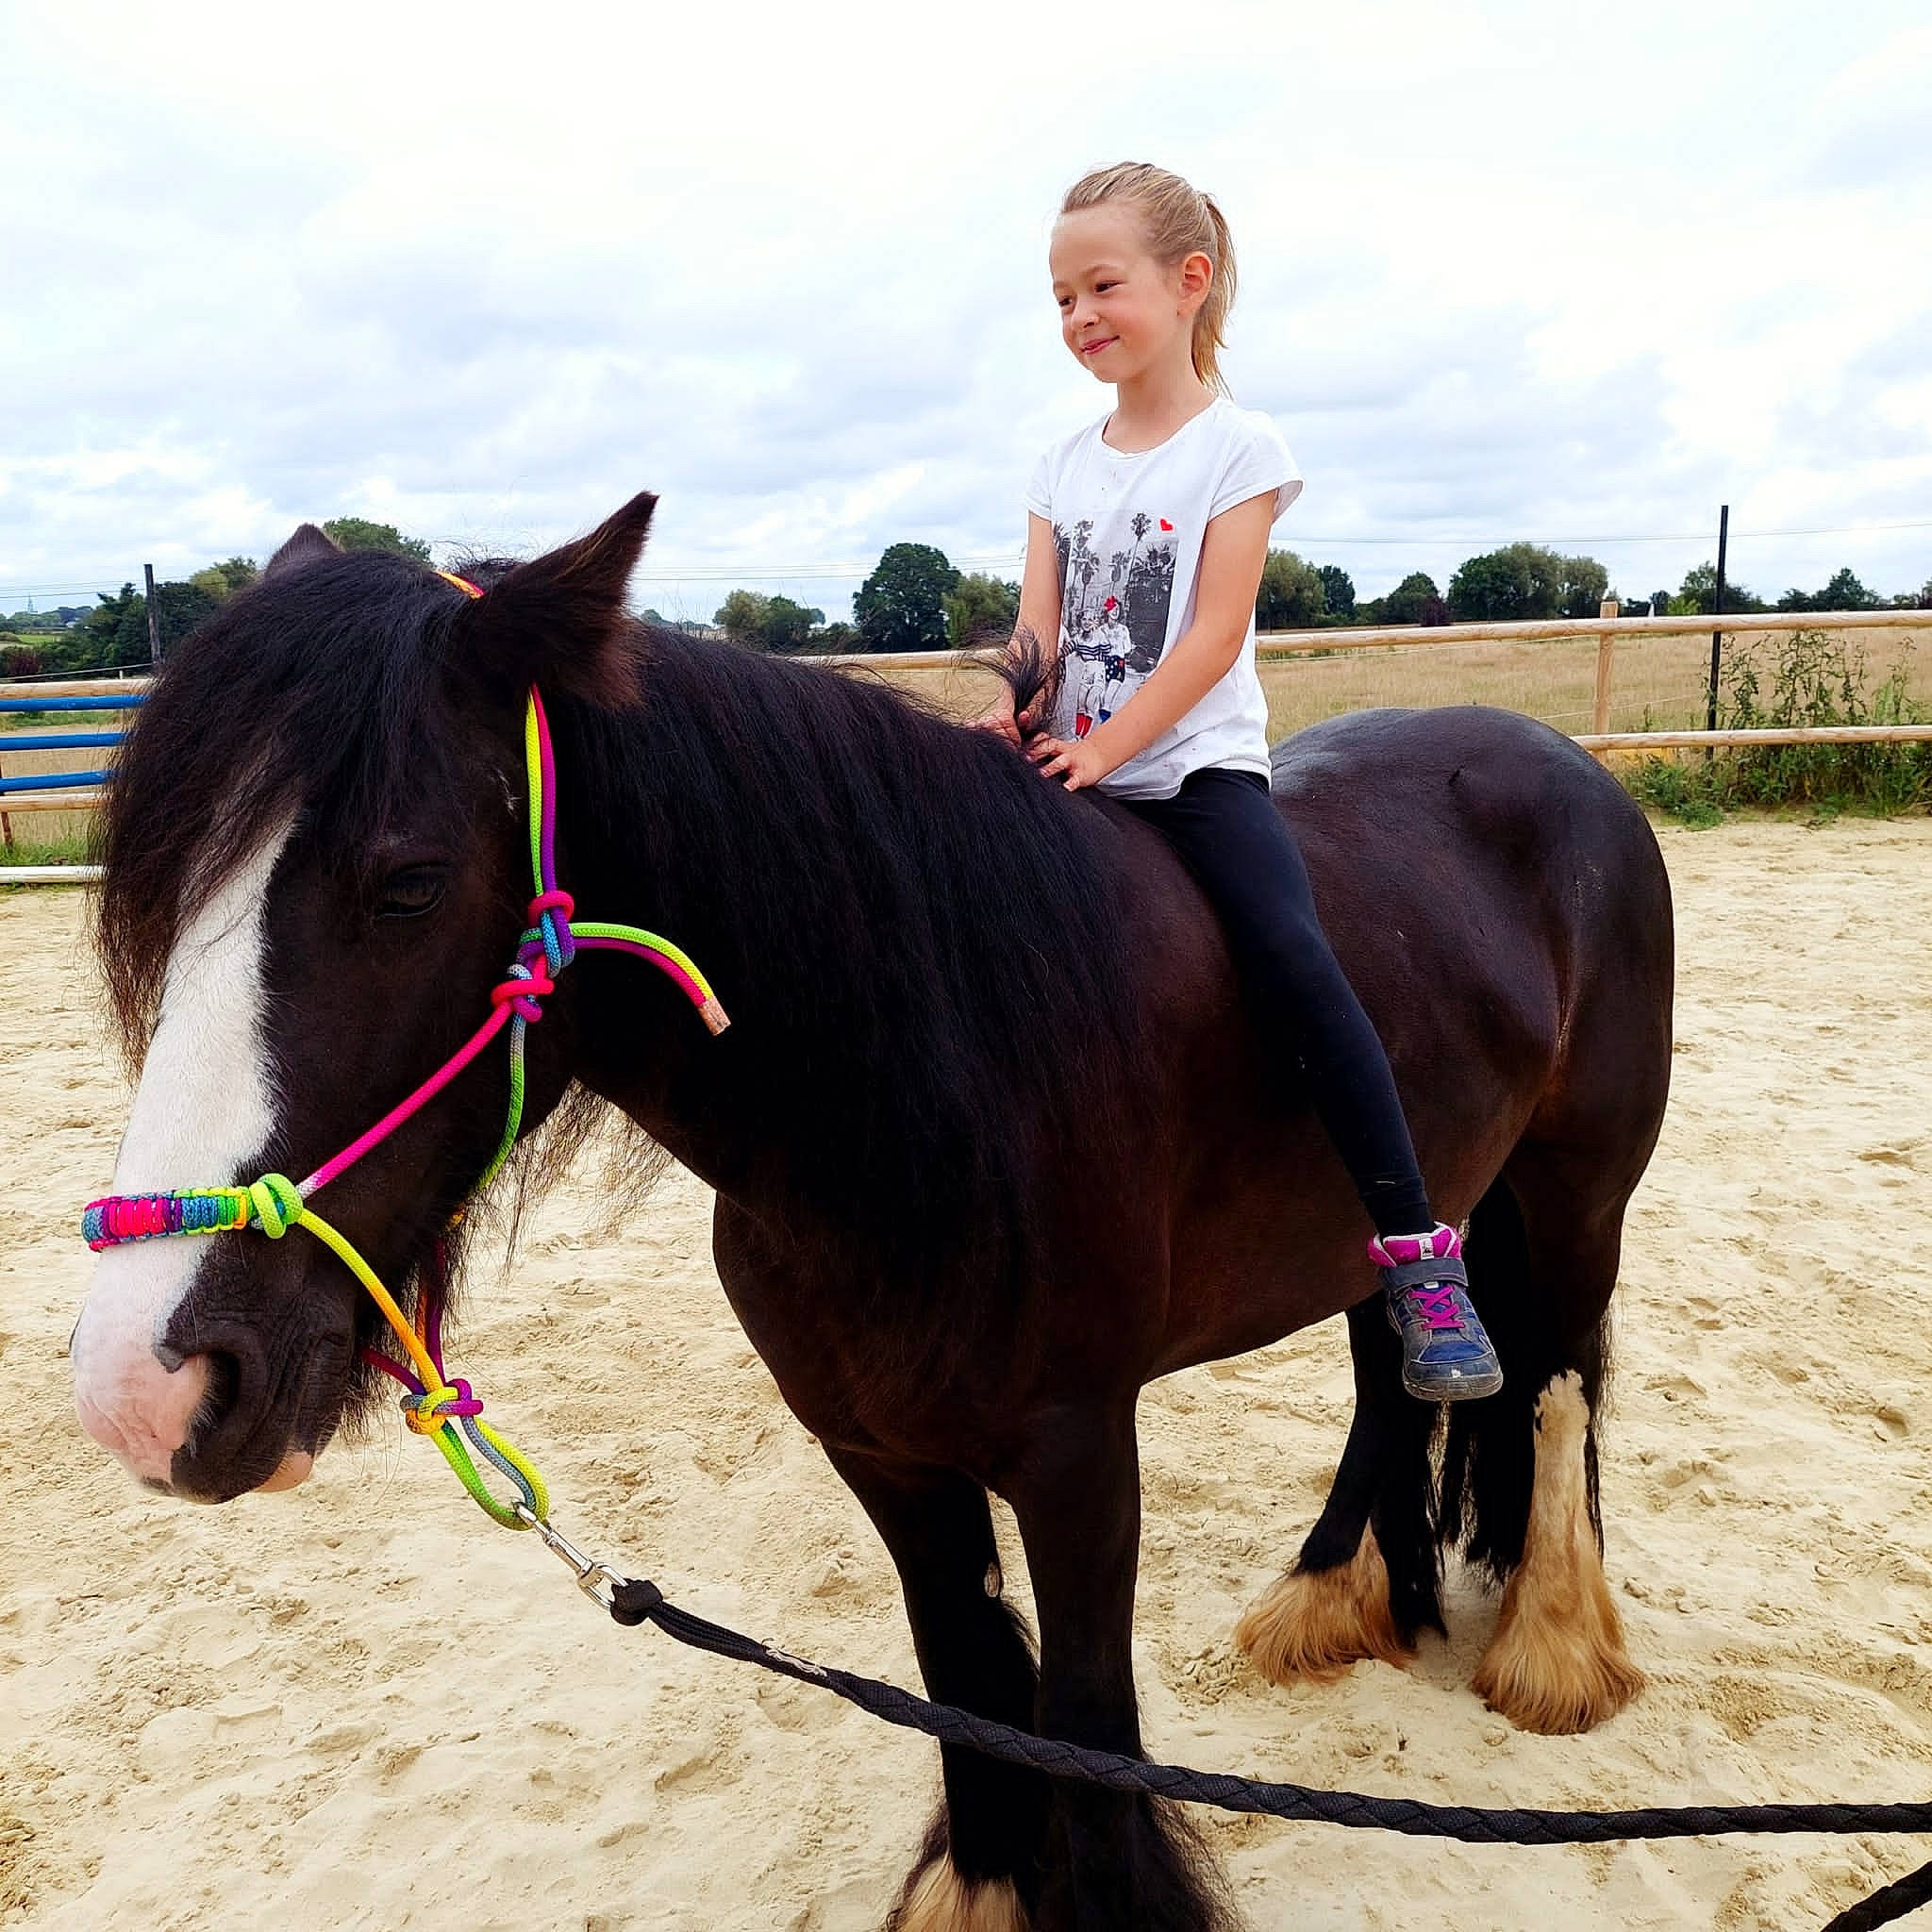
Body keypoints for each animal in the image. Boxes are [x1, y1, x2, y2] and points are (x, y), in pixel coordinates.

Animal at [69, 494, 1672, 1931]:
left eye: (406, 885)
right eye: (170, 889)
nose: (146, 1387)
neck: (930, 1074)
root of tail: (1566, 772)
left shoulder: (1080, 1460)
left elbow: (1088, 1736)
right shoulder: (883, 1456)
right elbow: (969, 1690)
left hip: (1576, 1198)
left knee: (1560, 1381)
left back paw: (1553, 1649)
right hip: (1398, 1213)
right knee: (1397, 1379)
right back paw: (1342, 1598)